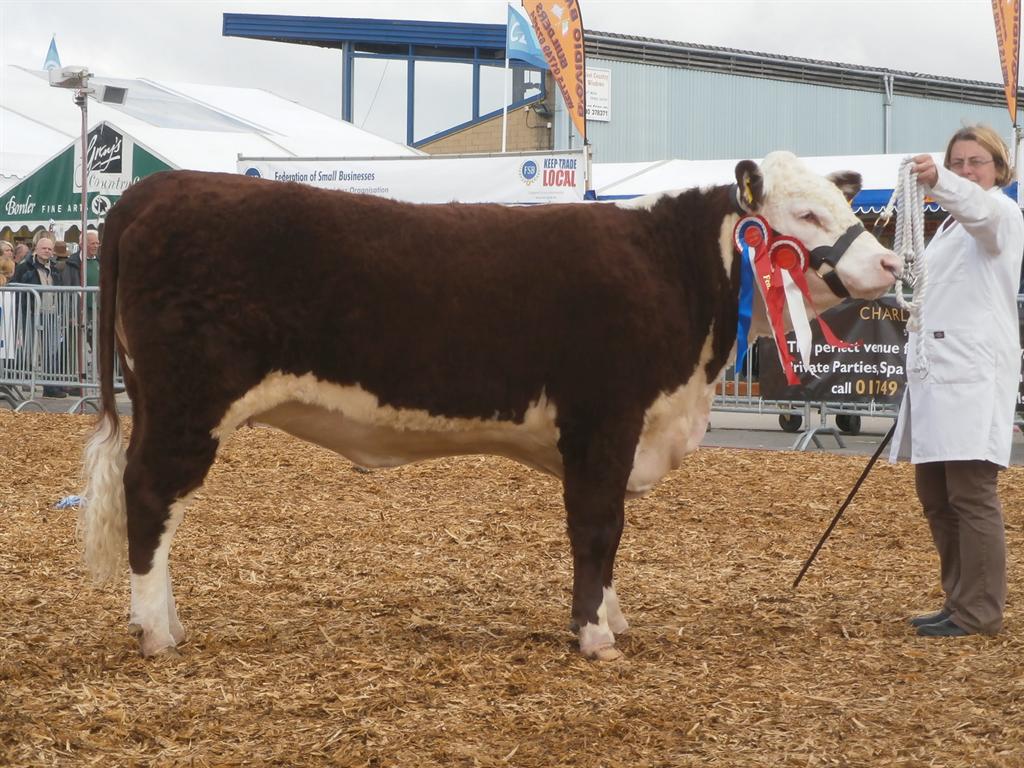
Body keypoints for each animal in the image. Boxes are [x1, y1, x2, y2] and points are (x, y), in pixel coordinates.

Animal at [79, 150, 897, 663]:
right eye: (806, 215)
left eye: (843, 203)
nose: (890, 262)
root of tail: (156, 189)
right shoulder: (604, 419)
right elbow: (598, 529)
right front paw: (594, 634)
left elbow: (609, 535)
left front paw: (612, 617)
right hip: (187, 402)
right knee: (150, 497)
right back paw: (157, 631)